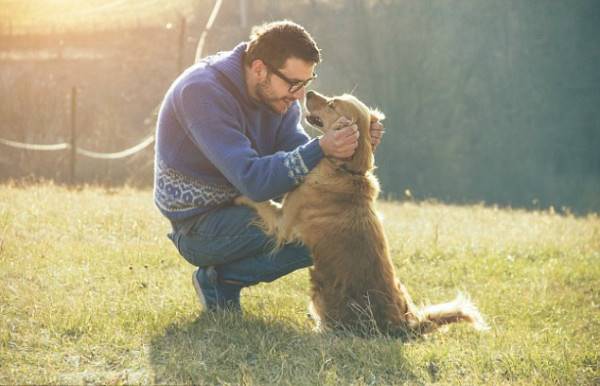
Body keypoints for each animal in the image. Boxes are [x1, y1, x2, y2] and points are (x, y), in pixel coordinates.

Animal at [234, 90, 488, 338]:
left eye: (332, 105)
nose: (308, 92)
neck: (346, 170)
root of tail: (405, 325)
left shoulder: (283, 223)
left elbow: (261, 201)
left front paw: (236, 194)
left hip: (321, 294)